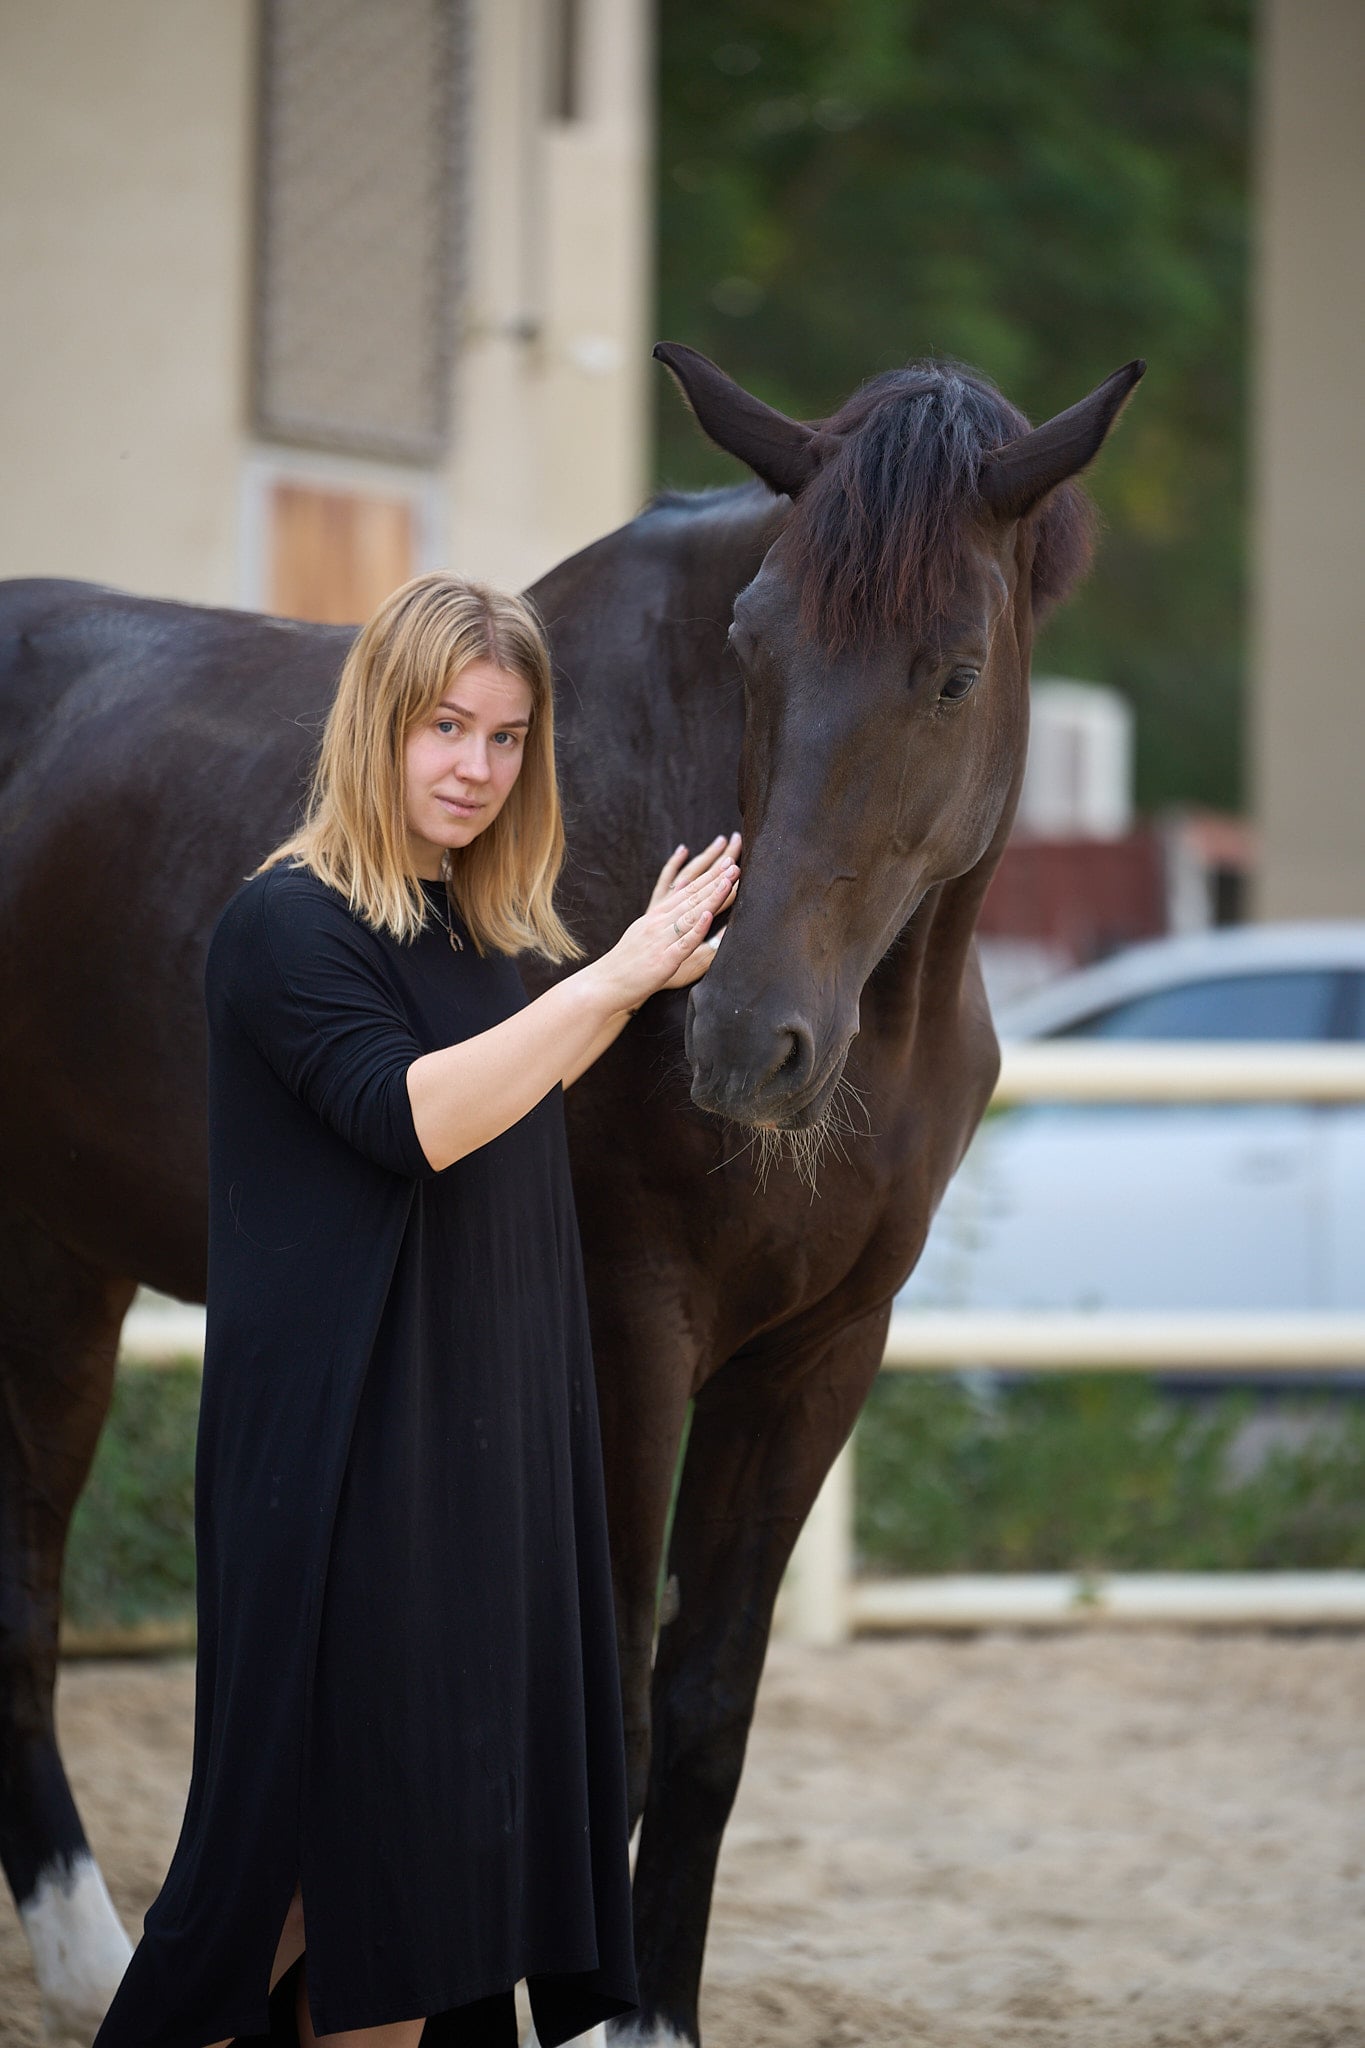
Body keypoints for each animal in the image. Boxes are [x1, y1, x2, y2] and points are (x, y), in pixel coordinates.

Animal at [0, 342, 1141, 2045]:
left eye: (950, 671)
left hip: (68, 1260)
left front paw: (648, 2014)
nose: (741, 1041)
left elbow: (708, 1703)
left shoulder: (822, 1357)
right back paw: (94, 1960)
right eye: (751, 643)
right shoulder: (625, 1330)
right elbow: (599, 1698)